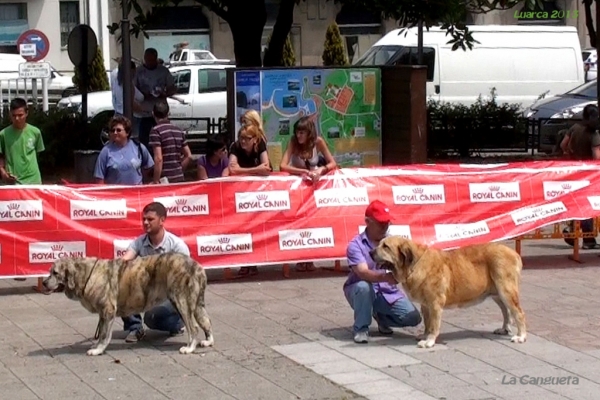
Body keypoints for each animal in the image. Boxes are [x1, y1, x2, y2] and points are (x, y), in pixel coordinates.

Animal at [370, 238, 524, 346]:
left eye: (385, 246)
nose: (370, 252)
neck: (414, 265)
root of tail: (514, 253)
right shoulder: (425, 305)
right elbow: (427, 323)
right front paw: (425, 336)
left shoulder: (435, 303)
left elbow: (434, 325)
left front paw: (429, 341)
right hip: (497, 293)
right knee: (506, 311)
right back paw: (504, 329)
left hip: (506, 290)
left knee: (518, 313)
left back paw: (521, 336)